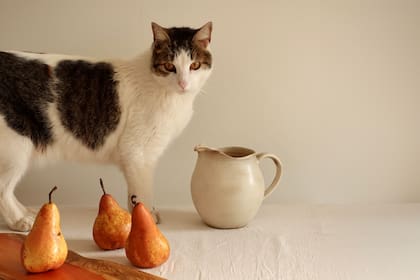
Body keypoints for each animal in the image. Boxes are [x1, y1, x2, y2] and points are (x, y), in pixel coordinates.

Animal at [0, 22, 212, 232]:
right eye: (169, 66)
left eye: (194, 66)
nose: (183, 83)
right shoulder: (138, 153)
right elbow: (143, 191)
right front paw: (147, 218)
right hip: (16, 147)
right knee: (3, 189)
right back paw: (19, 220)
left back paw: (27, 212)